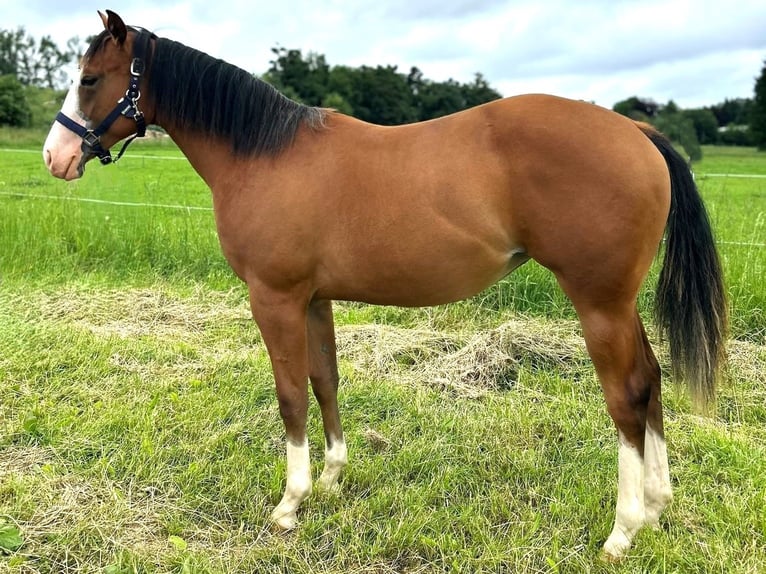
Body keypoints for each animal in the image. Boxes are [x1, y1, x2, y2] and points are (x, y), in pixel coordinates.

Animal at [42, 10, 727, 560]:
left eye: (91, 79)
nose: (55, 157)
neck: (265, 154)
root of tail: (635, 132)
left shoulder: (275, 298)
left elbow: (290, 395)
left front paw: (289, 505)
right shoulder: (313, 300)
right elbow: (324, 382)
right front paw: (330, 480)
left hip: (598, 303)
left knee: (627, 396)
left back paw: (623, 530)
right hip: (619, 304)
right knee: (652, 380)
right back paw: (657, 506)